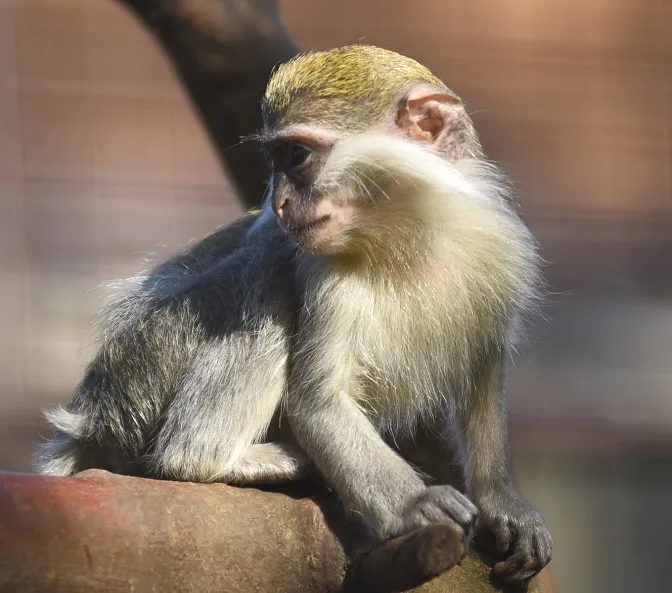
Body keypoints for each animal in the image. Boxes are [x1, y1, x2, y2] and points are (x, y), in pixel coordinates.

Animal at [36, 44, 552, 580]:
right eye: (275, 162)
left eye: (297, 157)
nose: (280, 203)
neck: (409, 237)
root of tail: (95, 411)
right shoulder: (327, 277)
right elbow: (318, 401)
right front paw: (415, 506)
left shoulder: (505, 247)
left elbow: (484, 370)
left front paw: (502, 501)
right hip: (150, 358)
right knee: (268, 278)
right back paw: (212, 459)